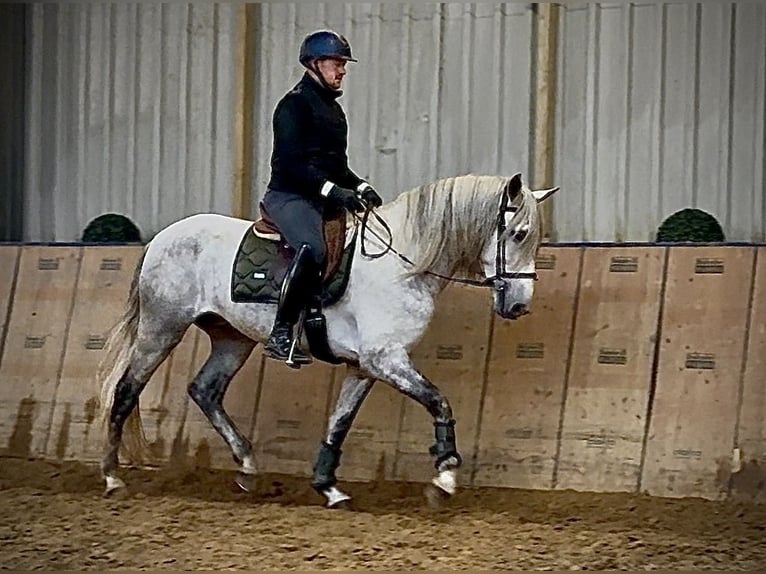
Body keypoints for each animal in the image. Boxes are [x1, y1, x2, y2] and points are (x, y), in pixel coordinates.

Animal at [97, 172, 558, 508]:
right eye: (518, 234)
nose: (520, 305)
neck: (403, 264)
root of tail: (162, 237)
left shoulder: (366, 366)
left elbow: (340, 421)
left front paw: (328, 486)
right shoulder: (386, 359)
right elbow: (438, 401)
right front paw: (444, 475)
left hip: (232, 338)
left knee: (205, 390)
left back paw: (246, 466)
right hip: (162, 328)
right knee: (127, 390)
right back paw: (112, 477)